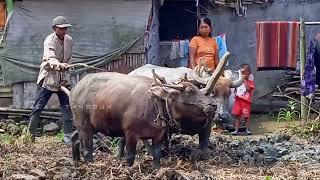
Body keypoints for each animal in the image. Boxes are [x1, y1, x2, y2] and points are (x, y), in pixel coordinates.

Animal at [69, 71, 218, 168]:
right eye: (188, 91)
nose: (213, 105)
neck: (156, 104)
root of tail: (76, 87)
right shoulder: (130, 134)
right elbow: (130, 156)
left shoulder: (158, 136)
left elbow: (157, 155)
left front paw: (157, 171)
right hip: (84, 124)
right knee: (87, 148)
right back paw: (90, 165)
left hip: (87, 125)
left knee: (74, 139)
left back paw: (76, 162)